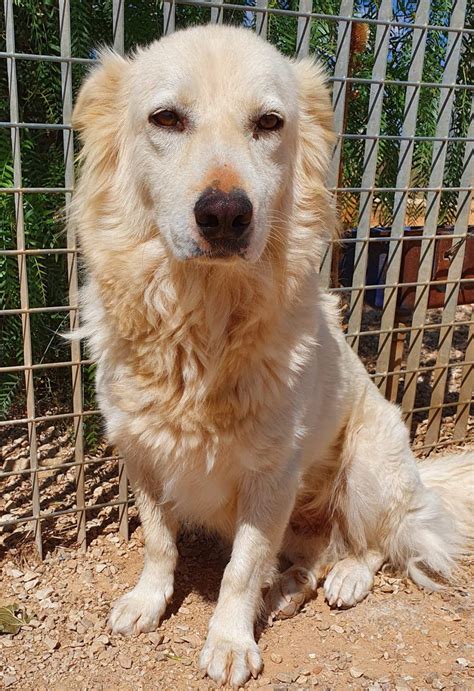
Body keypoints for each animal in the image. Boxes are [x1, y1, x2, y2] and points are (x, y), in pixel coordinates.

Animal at [71, 24, 474, 688]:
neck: (203, 326)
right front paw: (148, 602)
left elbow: (239, 569)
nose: (224, 215)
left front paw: (231, 642)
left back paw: (344, 578)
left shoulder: (272, 477)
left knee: (376, 544)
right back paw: (286, 590)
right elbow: (158, 542)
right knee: (310, 556)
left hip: (368, 464)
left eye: (268, 122)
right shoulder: (143, 454)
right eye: (166, 117)